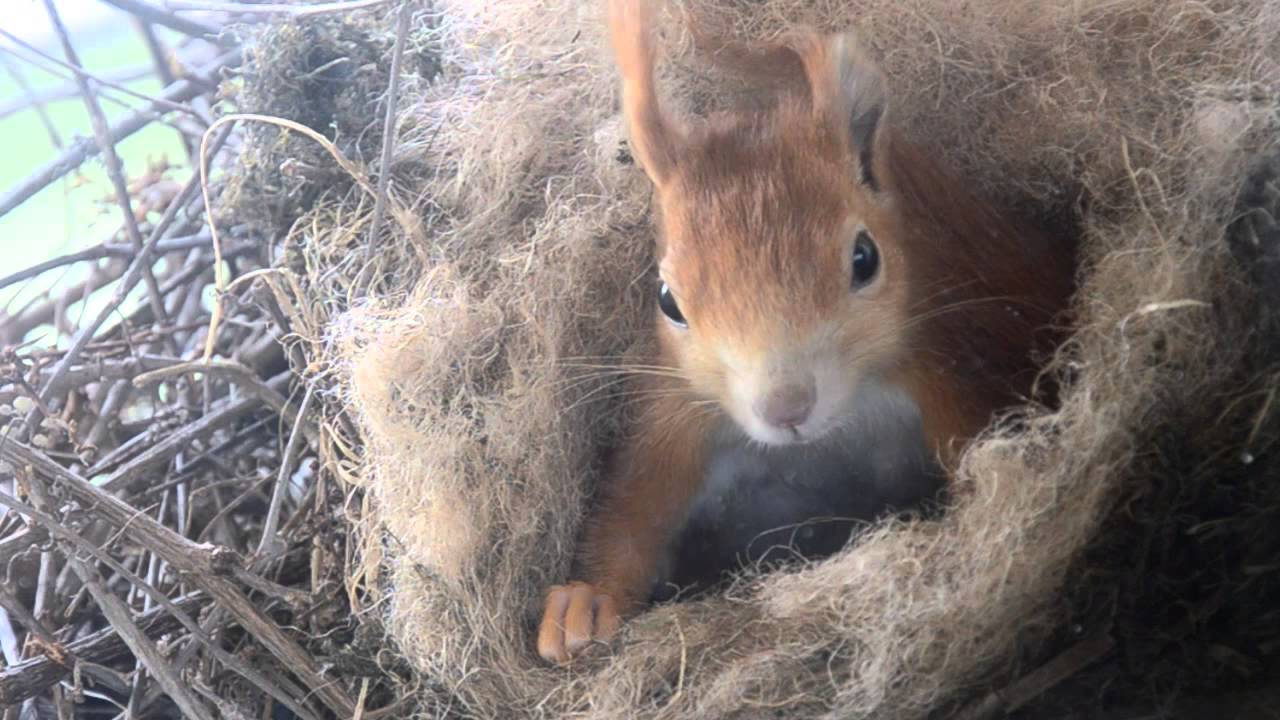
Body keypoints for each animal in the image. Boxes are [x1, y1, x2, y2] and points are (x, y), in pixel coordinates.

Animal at [536, 0, 1076, 664]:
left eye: (866, 258)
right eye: (668, 301)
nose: (785, 407)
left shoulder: (946, 365)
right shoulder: (678, 419)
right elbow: (634, 510)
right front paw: (585, 600)